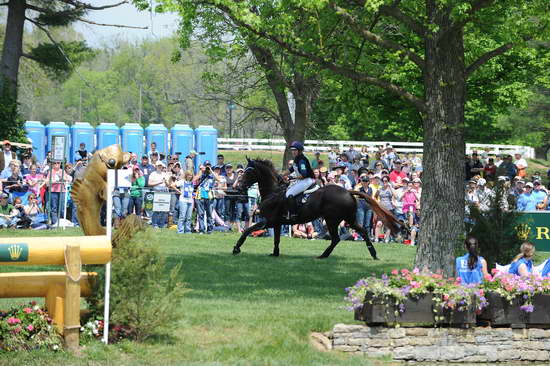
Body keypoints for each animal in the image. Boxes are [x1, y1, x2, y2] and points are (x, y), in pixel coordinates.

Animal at [231, 159, 404, 258]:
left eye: (249, 172)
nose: (238, 187)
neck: (273, 191)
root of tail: (347, 191)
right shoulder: (277, 223)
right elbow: (276, 239)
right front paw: (274, 254)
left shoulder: (269, 221)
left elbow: (247, 231)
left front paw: (236, 248)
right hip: (348, 219)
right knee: (362, 231)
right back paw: (373, 254)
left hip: (332, 220)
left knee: (337, 238)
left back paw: (323, 255)